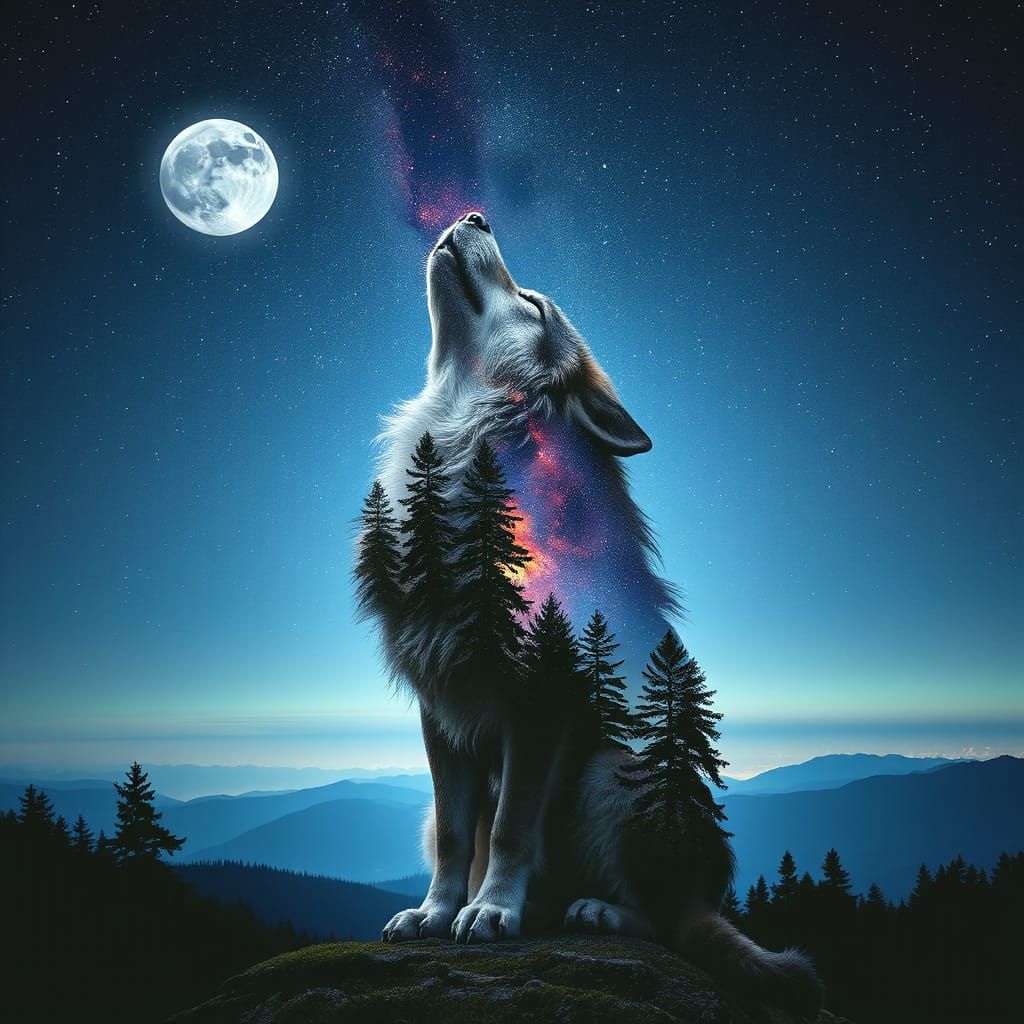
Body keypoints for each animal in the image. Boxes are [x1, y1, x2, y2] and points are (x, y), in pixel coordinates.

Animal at [369, 212, 822, 1015]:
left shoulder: (538, 701)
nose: (476, 215)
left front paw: (490, 912)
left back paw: (594, 912)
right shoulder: (441, 711)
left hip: (613, 772)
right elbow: (457, 837)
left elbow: (511, 828)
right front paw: (436, 912)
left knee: (666, 920)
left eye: (533, 303)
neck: (459, 443)